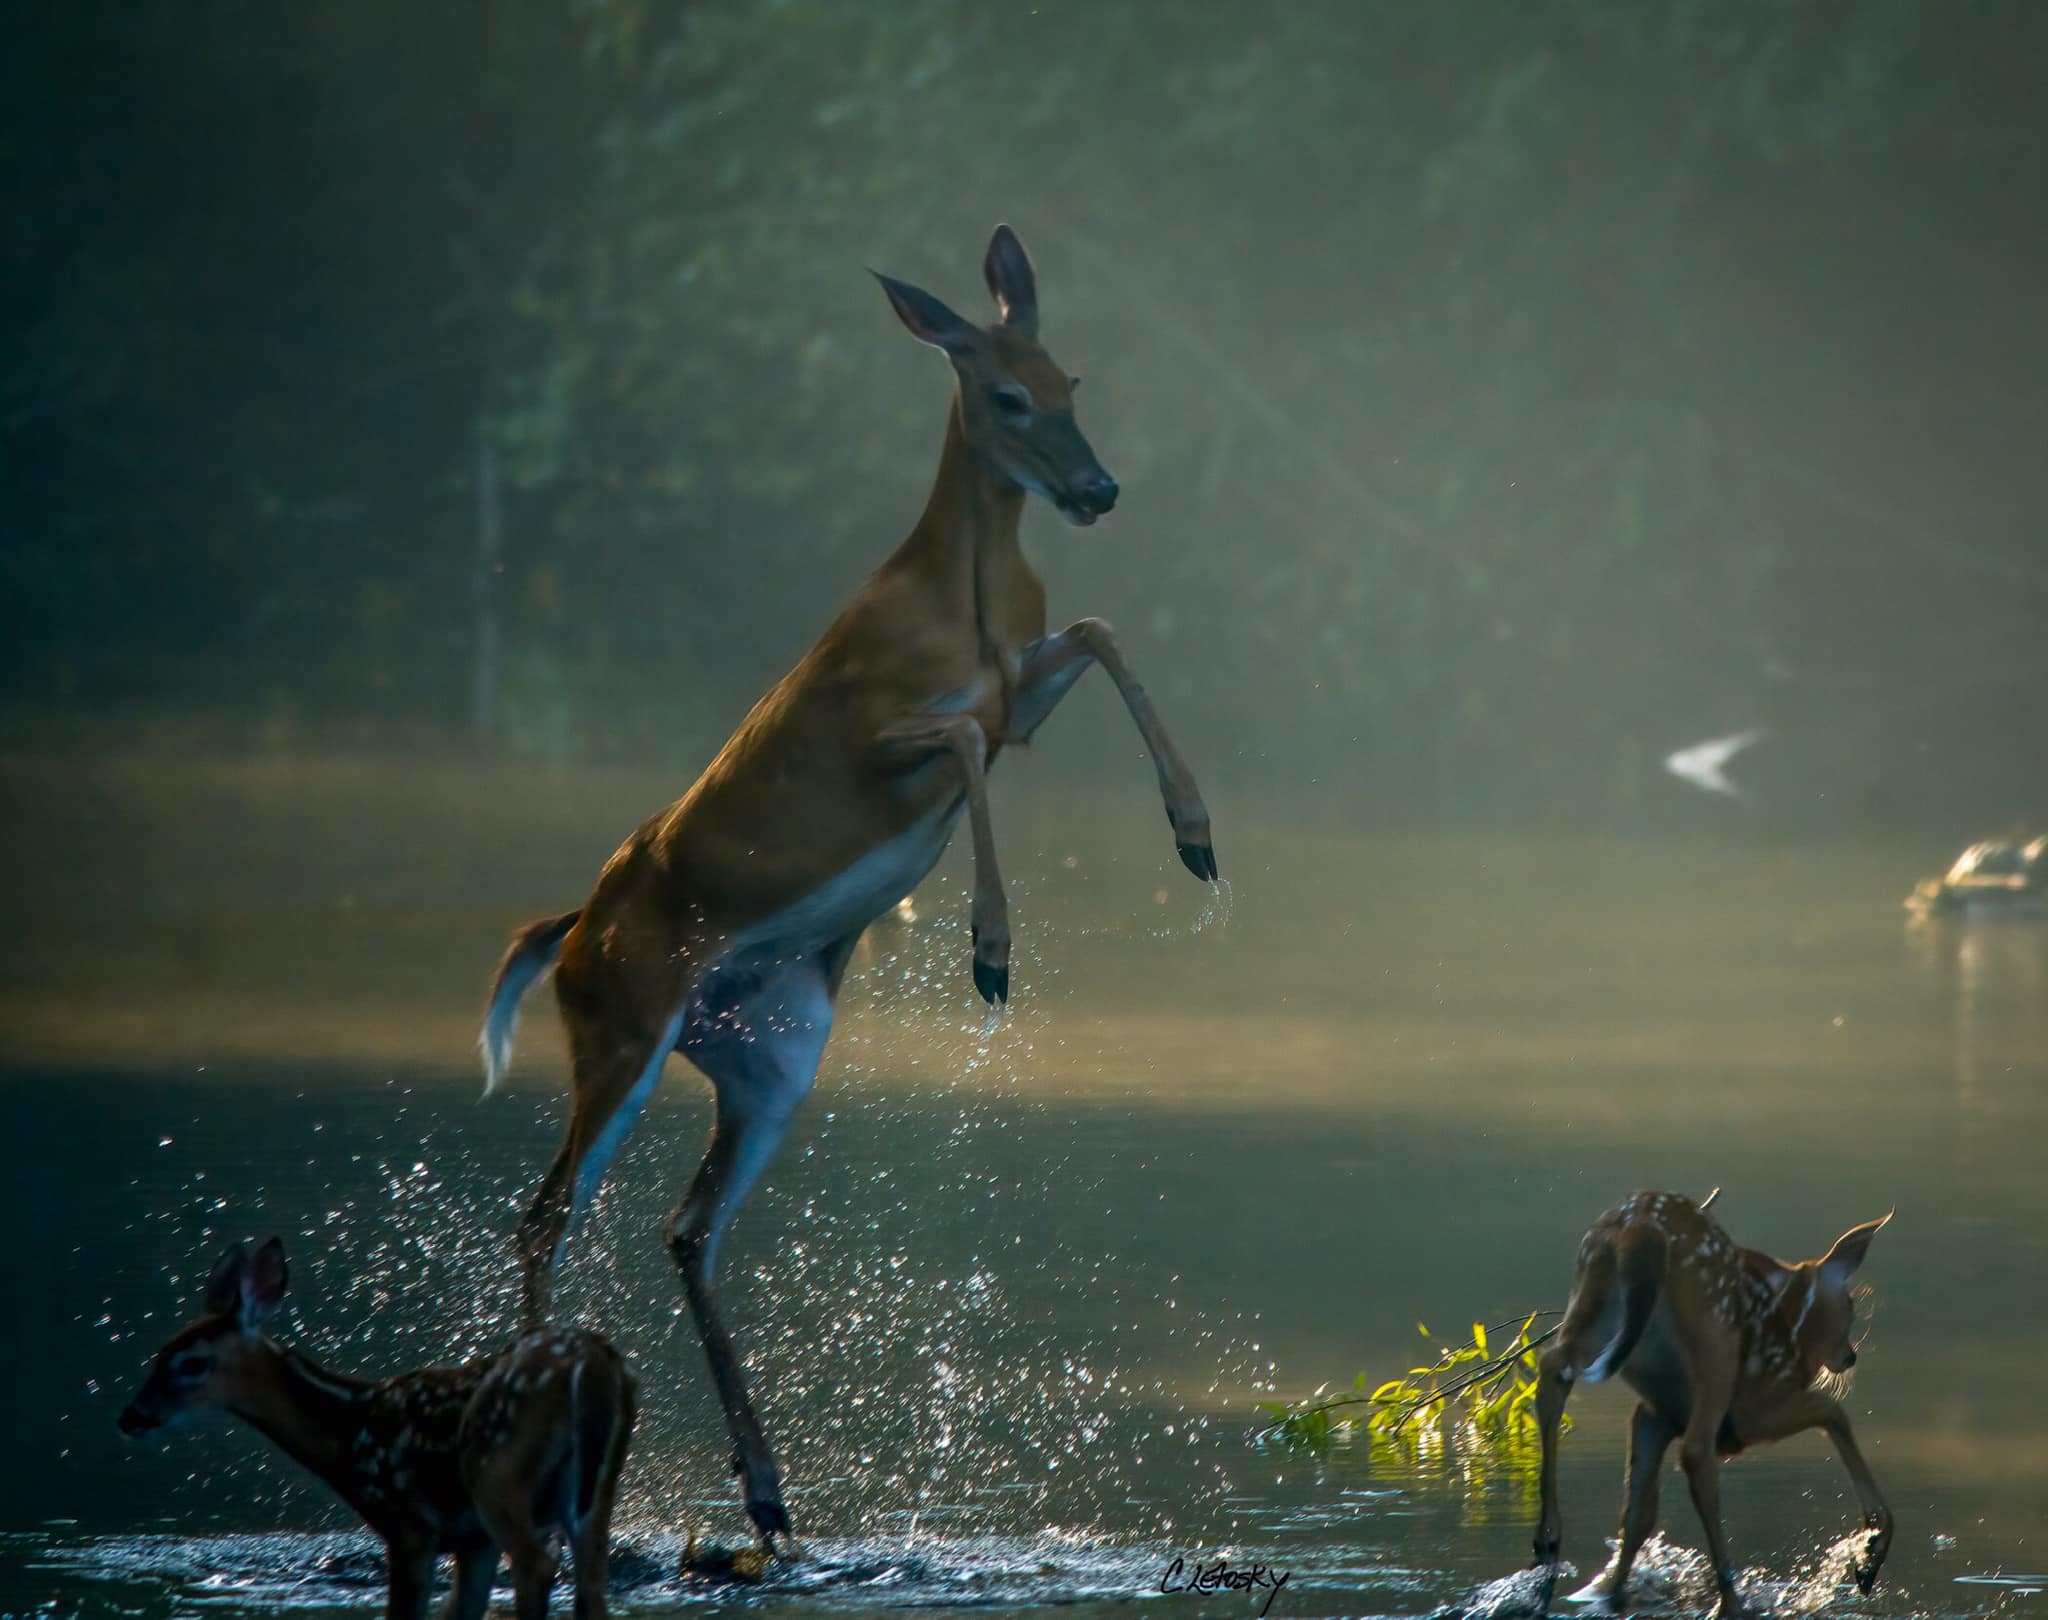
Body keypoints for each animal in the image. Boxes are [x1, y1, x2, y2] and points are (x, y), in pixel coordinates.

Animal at [118, 1238, 637, 1620]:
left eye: (192, 1364)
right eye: (161, 1352)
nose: (131, 1417)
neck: (349, 1430)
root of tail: (595, 1368)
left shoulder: (408, 1523)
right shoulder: (473, 1541)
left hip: (495, 1473)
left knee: (538, 1566)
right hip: (593, 1491)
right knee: (590, 1583)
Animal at [478, 224, 1217, 1549]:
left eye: (1074, 378)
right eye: (1007, 394)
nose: (1098, 490)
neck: (961, 606)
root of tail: (568, 933)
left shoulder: (1019, 691)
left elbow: (1096, 629)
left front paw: (1194, 833)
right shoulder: (882, 736)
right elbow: (969, 734)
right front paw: (990, 948)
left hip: (770, 1048)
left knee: (684, 1227)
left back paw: (770, 1495)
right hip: (619, 1026)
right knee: (547, 1212)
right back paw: (565, 1486)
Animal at [1529, 1192, 1894, 1619]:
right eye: (1849, 1303)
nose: (1849, 1356)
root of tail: (1638, 1228)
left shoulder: (1655, 1414)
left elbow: (1638, 1515)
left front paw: (1608, 1590)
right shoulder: (1756, 1406)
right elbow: (1833, 1410)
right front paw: (1870, 1552)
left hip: (1595, 1306)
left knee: (1553, 1366)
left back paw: (1548, 1547)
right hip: (1716, 1340)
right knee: (1697, 1450)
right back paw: (1731, 1600)